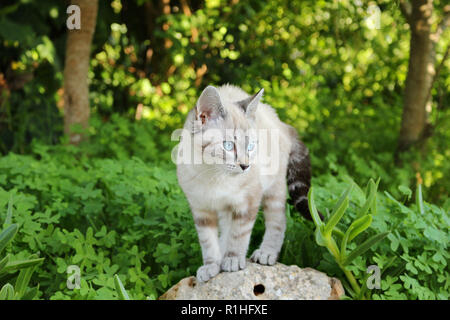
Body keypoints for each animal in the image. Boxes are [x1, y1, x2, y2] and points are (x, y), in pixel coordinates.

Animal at [176, 84, 312, 282]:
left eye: (250, 147)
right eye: (228, 146)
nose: (245, 165)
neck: (213, 174)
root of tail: (280, 122)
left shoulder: (248, 201)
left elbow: (239, 234)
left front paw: (232, 260)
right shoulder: (201, 209)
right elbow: (208, 241)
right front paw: (211, 266)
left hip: (274, 188)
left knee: (277, 221)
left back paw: (266, 253)